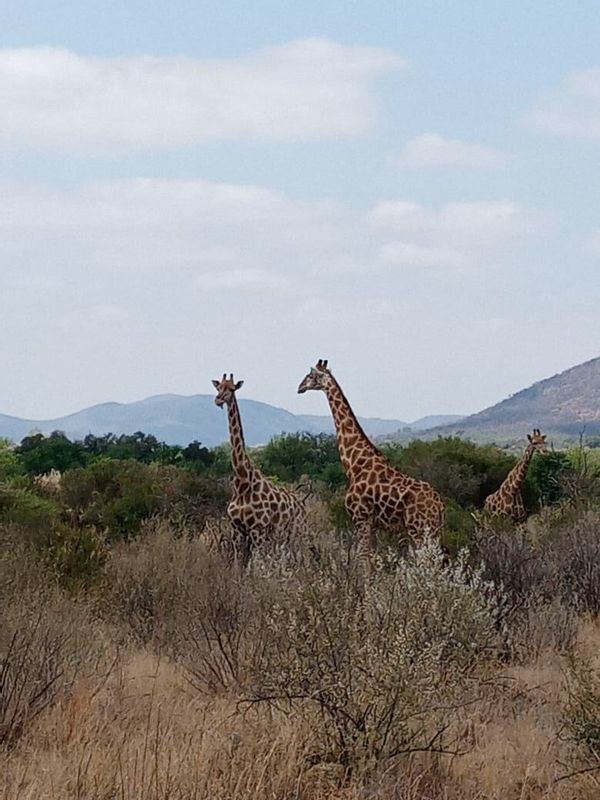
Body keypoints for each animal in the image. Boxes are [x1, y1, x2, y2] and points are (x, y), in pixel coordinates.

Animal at [212, 376, 308, 564]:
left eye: (232, 389)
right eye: (218, 387)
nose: (218, 399)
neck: (242, 480)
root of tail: (301, 504)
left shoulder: (258, 529)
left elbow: (257, 566)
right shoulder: (237, 531)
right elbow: (239, 564)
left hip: (296, 531)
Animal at [296, 356, 446, 556]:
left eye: (311, 375)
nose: (299, 387)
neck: (354, 464)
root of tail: (439, 505)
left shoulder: (360, 518)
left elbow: (363, 557)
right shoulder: (372, 525)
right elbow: (372, 558)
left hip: (419, 528)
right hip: (433, 530)